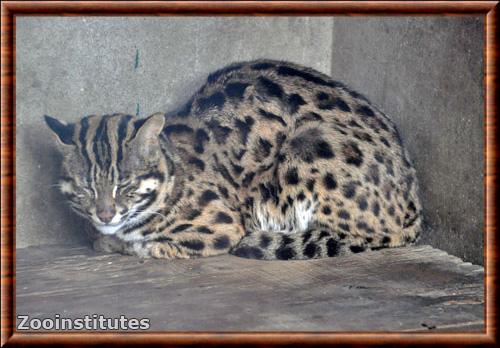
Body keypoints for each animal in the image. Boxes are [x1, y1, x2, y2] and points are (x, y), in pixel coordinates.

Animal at [44, 59, 422, 260]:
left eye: (126, 185)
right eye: (85, 189)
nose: (105, 214)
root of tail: (413, 205)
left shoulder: (220, 226)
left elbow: (148, 246)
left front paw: (119, 243)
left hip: (308, 146)